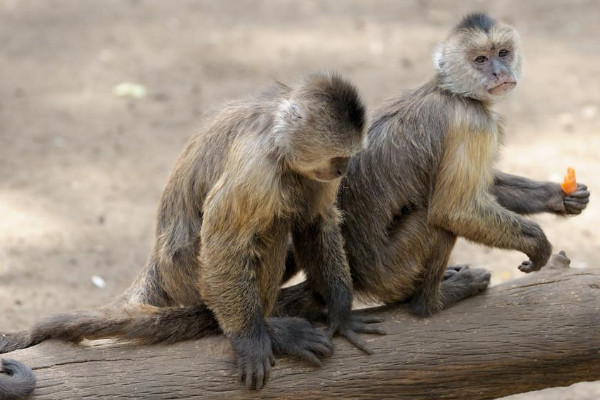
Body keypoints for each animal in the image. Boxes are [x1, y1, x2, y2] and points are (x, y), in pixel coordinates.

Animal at [1, 72, 384, 390]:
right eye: (338, 159)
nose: (344, 170)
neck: (280, 144)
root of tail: (157, 263)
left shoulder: (310, 173)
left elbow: (316, 222)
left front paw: (341, 312)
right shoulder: (256, 167)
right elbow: (224, 244)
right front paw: (251, 339)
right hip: (187, 274)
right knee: (266, 227)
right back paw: (269, 329)